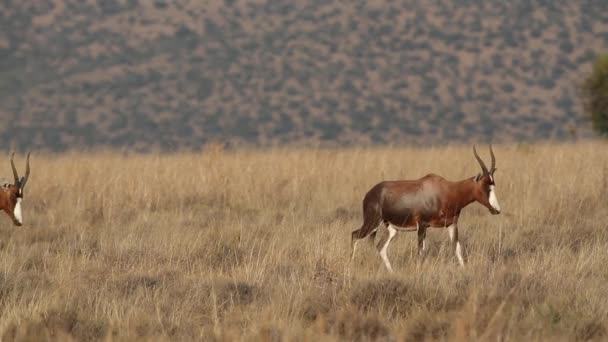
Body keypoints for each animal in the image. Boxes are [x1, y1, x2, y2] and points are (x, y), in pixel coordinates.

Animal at [350, 145, 502, 272]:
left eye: (493, 185)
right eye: (485, 186)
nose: (497, 210)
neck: (446, 191)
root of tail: (370, 193)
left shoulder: (452, 225)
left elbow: (457, 249)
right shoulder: (422, 225)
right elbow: (421, 252)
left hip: (391, 228)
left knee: (380, 247)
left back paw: (392, 272)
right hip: (372, 223)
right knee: (355, 235)